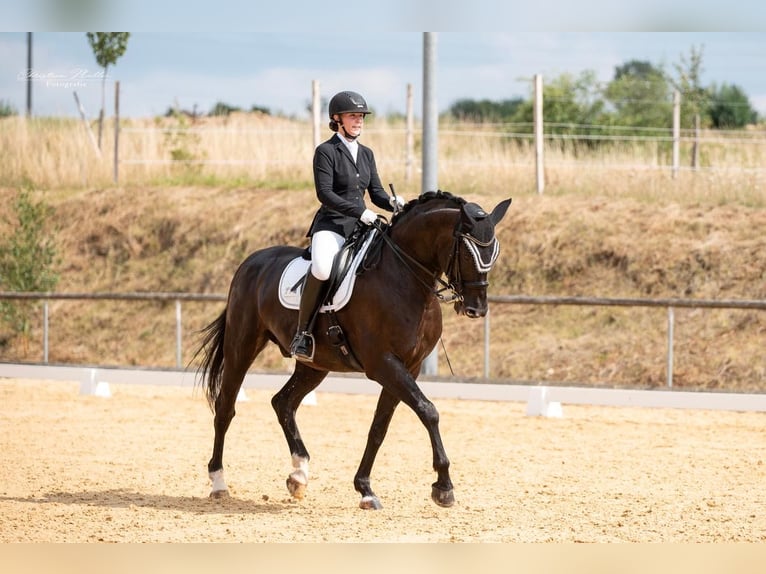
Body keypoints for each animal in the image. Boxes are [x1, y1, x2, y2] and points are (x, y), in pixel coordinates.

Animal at [194, 190, 512, 509]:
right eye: (468, 251)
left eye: (493, 252)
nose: (476, 309)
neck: (404, 278)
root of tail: (251, 261)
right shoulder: (383, 364)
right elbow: (428, 411)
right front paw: (443, 487)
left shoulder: (409, 367)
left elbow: (379, 427)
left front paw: (365, 489)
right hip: (242, 346)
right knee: (225, 407)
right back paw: (219, 482)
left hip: (315, 365)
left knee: (283, 402)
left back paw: (299, 475)